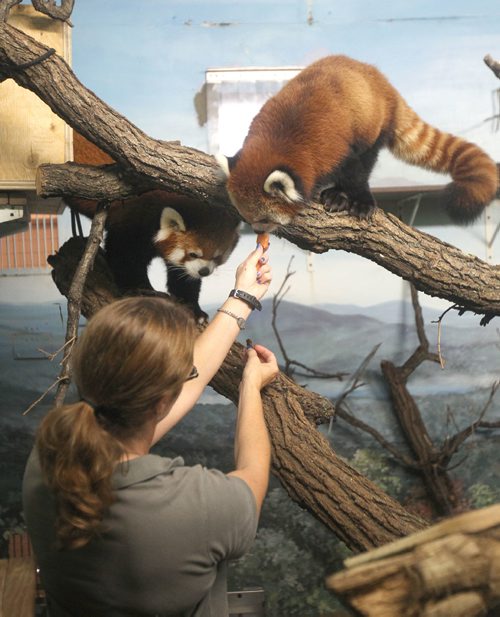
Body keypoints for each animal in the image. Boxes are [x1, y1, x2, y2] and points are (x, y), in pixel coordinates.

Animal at [70, 132, 240, 320]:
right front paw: (139, 289)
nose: (204, 271)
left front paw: (195, 308)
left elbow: (182, 277)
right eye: (193, 254)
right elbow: (124, 258)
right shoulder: (132, 222)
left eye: (217, 256)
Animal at [220, 55, 500, 232]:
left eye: (265, 219)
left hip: (373, 123)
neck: (279, 141)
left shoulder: (334, 146)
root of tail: (383, 82)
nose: (258, 232)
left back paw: (340, 195)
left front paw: (358, 201)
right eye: (246, 217)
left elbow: (355, 172)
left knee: (367, 158)